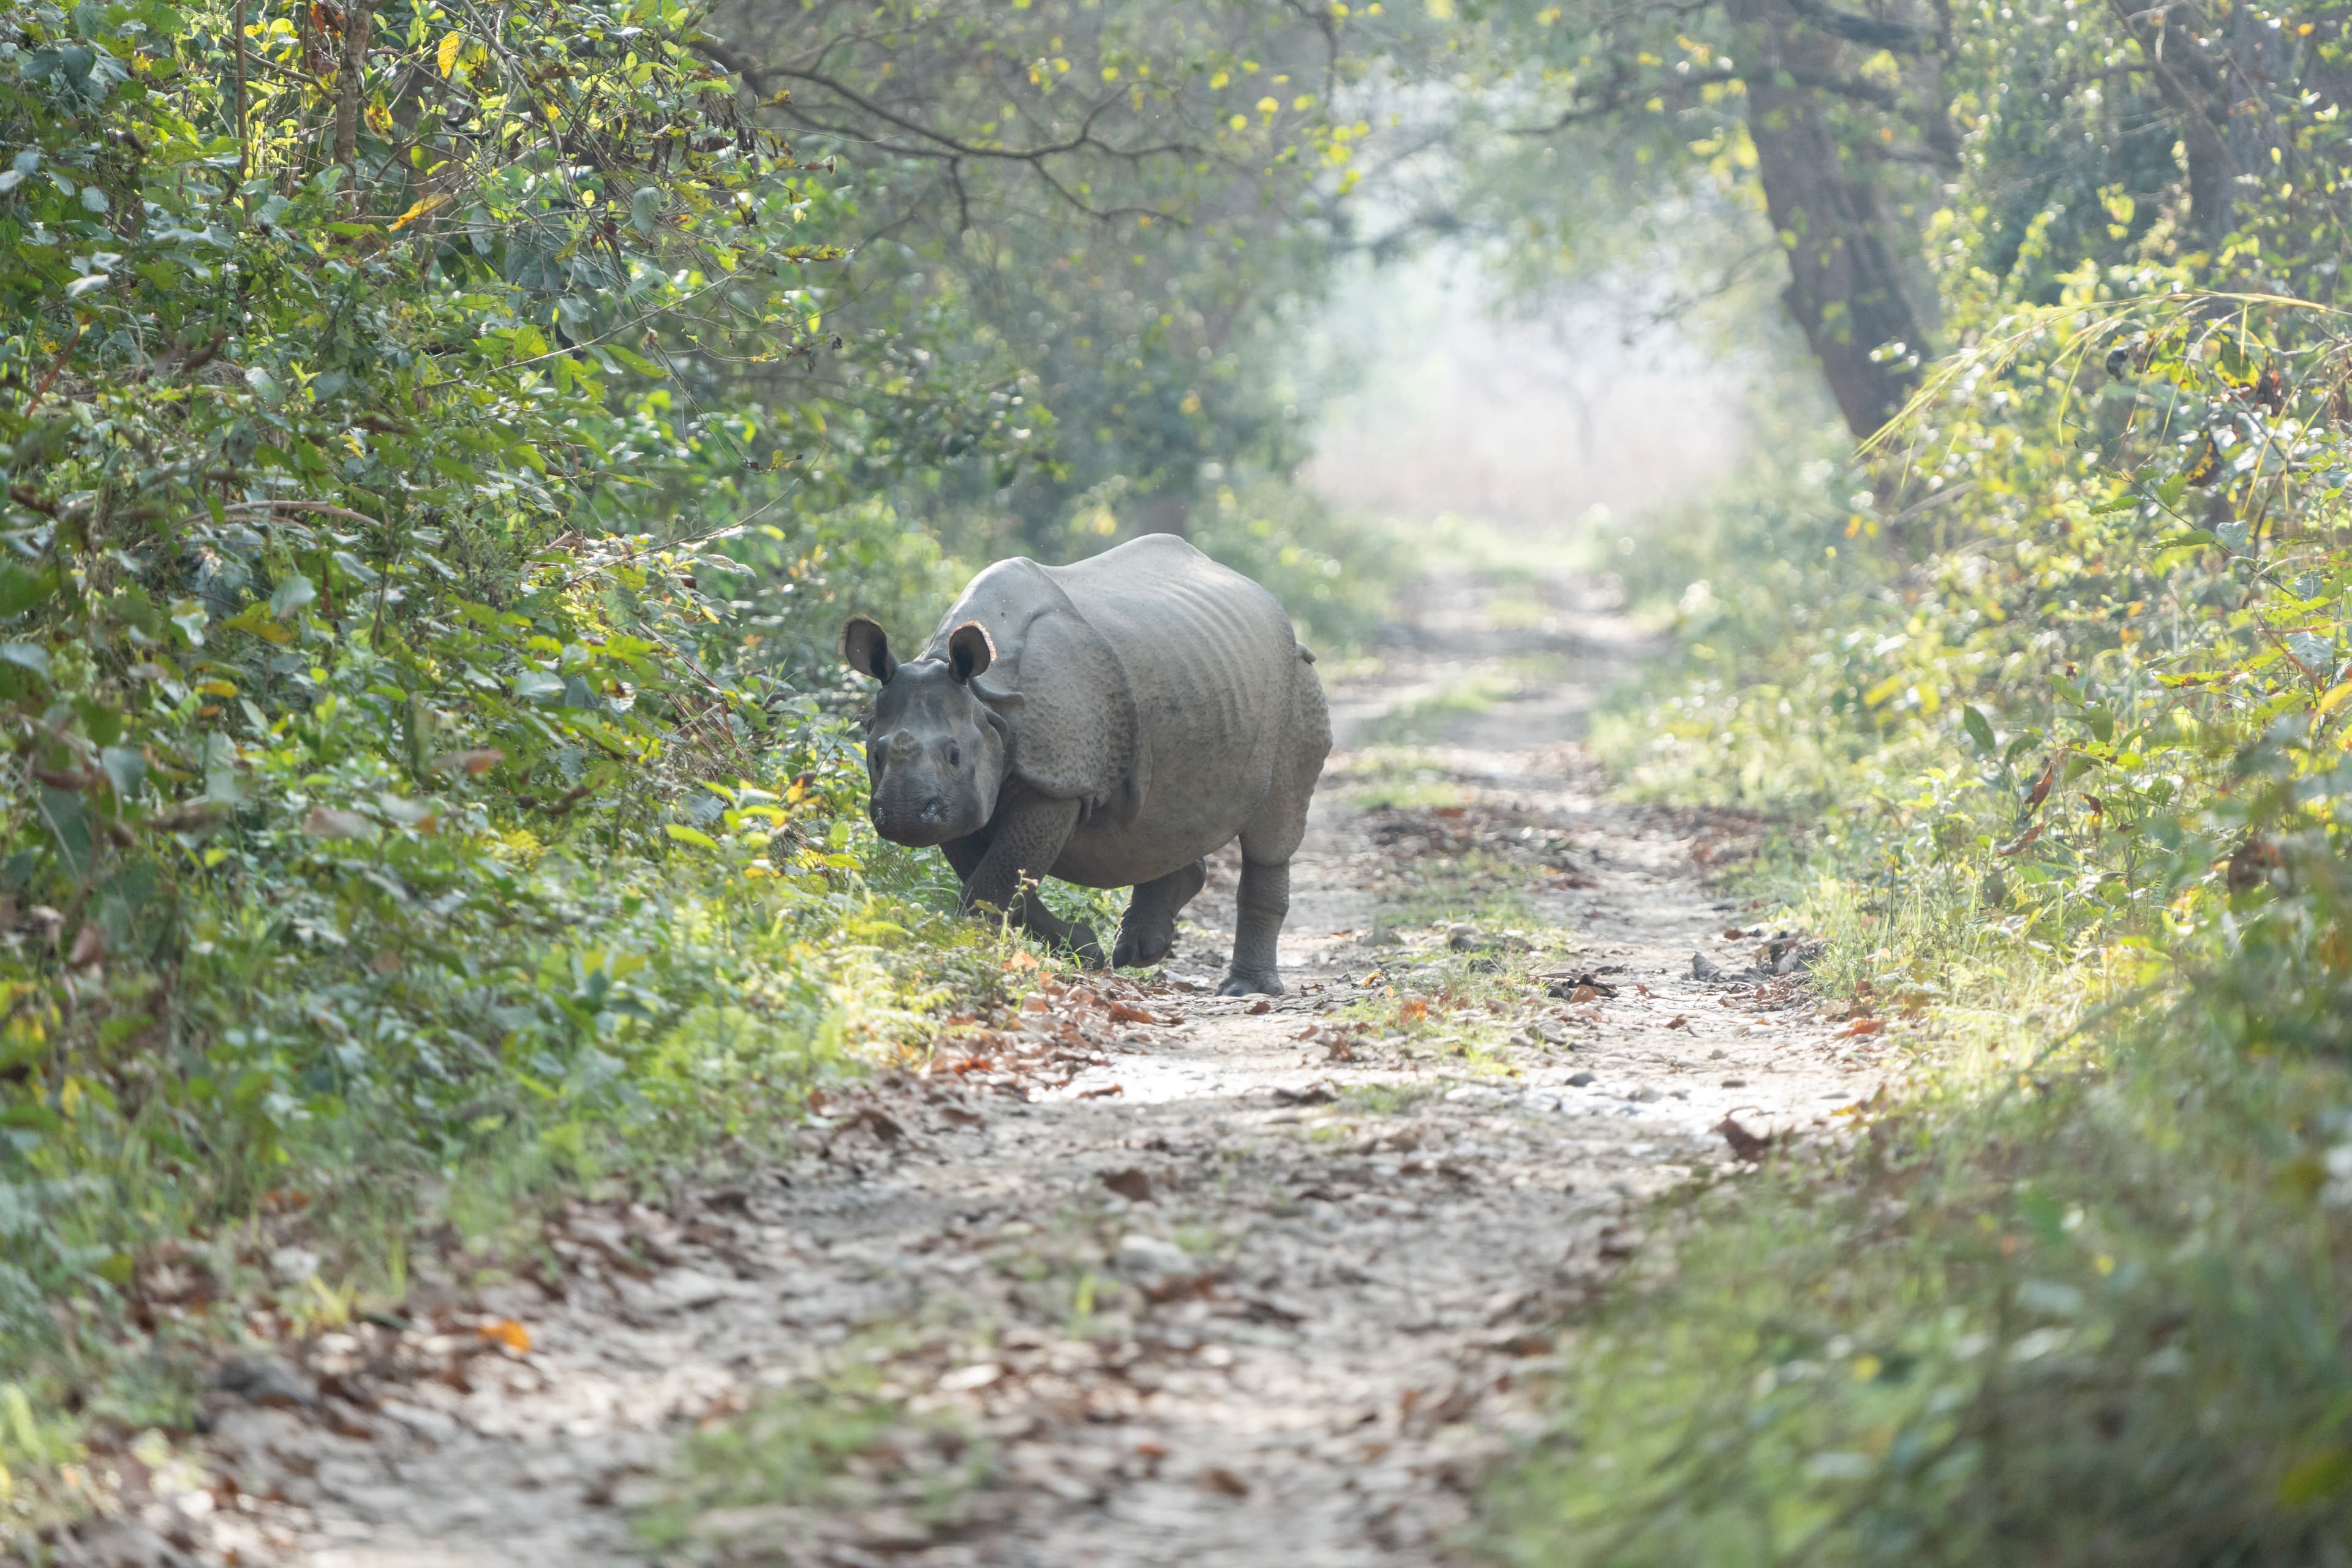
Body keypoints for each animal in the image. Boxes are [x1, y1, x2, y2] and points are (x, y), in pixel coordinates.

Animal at [841, 534, 1331, 996]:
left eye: (955, 755)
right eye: (876, 754)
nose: (903, 815)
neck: (984, 698)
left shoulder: (1056, 783)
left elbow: (996, 881)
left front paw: (974, 950)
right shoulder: (962, 800)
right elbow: (996, 879)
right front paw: (1086, 950)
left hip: (1296, 679)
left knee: (1272, 834)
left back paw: (1244, 989)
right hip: (1200, 667)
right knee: (1163, 819)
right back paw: (1139, 952)